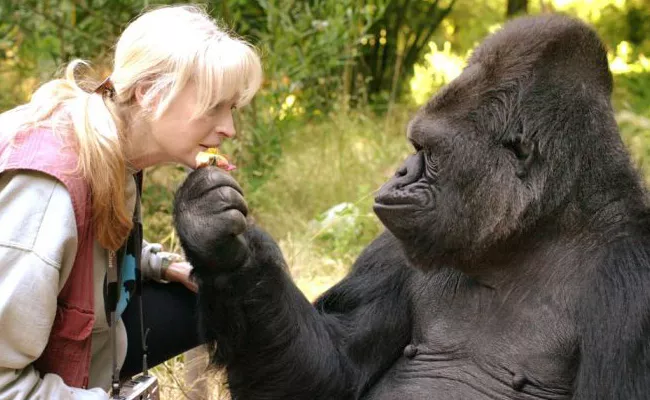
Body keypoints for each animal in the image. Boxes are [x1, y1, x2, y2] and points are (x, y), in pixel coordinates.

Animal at [171, 14, 648, 398]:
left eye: (428, 151)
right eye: (415, 146)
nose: (400, 172)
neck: (537, 230)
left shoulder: (632, 286)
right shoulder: (394, 247)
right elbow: (332, 371)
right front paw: (218, 242)